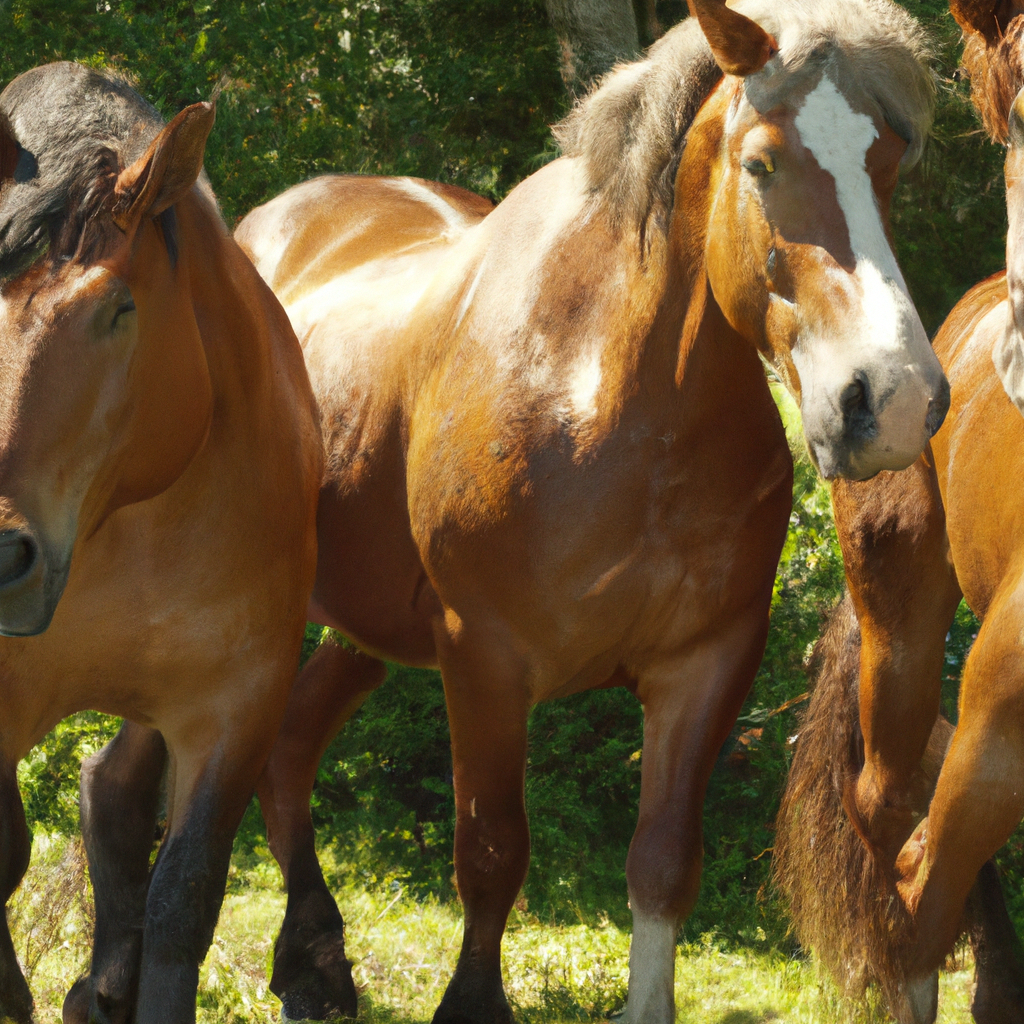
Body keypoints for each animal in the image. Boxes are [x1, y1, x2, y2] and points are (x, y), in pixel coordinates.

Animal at [228, 4, 946, 1019]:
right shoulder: (484, 660)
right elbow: (492, 854)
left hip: (362, 630)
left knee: (287, 752)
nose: (894, 398)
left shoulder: (704, 665)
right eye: (763, 163)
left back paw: (312, 963)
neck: (609, 391)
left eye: (887, 164)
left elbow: (663, 864)